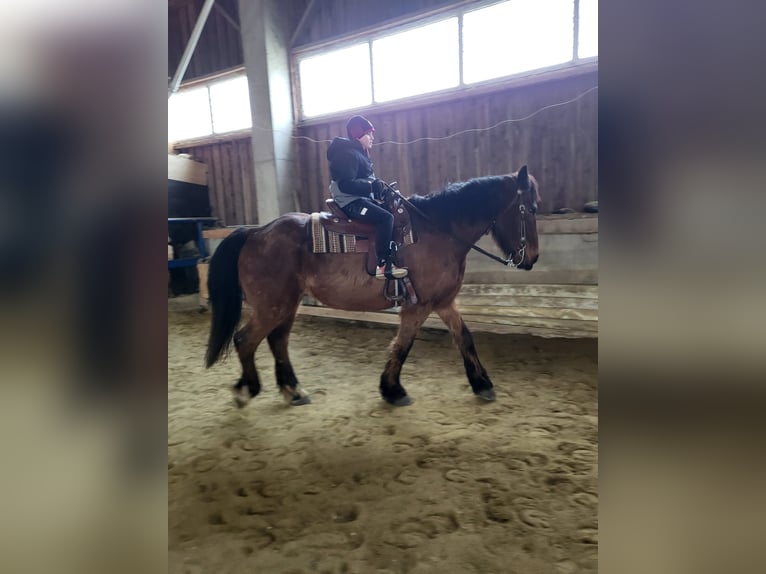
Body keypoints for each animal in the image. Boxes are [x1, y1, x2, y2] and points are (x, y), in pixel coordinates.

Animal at [205, 166, 540, 407]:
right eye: (531, 208)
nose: (533, 258)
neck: (439, 230)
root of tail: (256, 232)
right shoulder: (418, 306)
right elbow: (403, 345)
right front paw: (392, 390)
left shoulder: (443, 303)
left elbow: (465, 338)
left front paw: (482, 384)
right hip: (272, 306)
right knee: (245, 340)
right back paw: (246, 390)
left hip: (288, 304)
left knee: (278, 341)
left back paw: (293, 391)